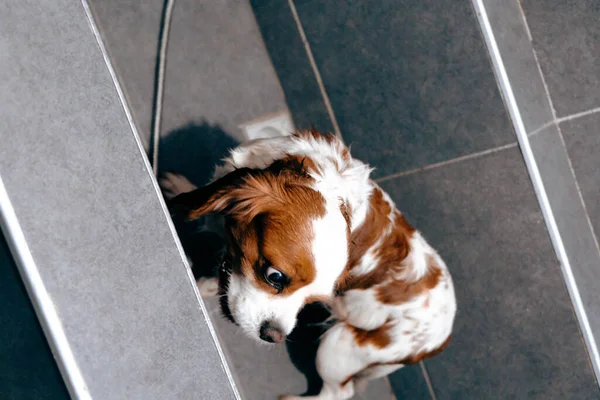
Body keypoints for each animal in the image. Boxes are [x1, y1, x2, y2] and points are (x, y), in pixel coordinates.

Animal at [162, 130, 458, 398]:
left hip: (339, 344)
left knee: (338, 393)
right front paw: (182, 189)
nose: (273, 335)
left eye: (311, 302)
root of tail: (443, 337)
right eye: (275, 277)